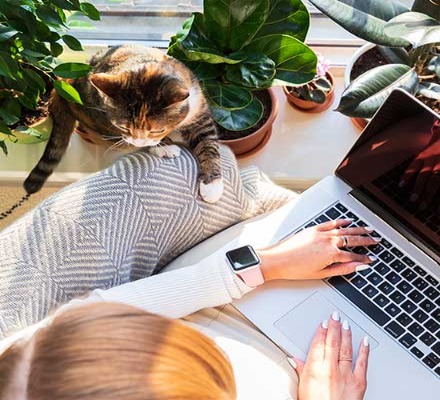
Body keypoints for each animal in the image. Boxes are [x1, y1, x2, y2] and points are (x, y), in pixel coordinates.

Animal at [24, 46, 223, 203]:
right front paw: (163, 146)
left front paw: (211, 184)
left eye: (157, 129)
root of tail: (63, 83)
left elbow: (208, 145)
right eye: (125, 127)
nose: (138, 141)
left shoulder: (200, 113)